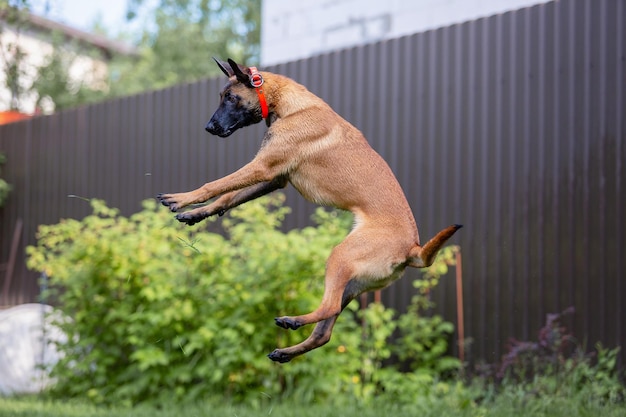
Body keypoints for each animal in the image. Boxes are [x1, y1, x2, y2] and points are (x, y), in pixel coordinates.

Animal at [156, 57, 458, 360]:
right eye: (222, 96)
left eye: (230, 98)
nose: (209, 127)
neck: (289, 107)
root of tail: (413, 248)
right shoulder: (275, 178)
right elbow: (226, 197)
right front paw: (196, 213)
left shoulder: (262, 167)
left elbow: (214, 185)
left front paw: (181, 198)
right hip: (353, 283)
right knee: (324, 332)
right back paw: (287, 351)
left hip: (340, 257)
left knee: (329, 307)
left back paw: (292, 320)